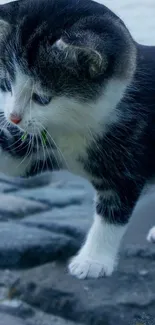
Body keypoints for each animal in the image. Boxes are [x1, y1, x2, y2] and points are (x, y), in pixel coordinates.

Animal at [0, 0, 154, 278]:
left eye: (42, 98)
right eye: (6, 84)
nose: (13, 118)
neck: (76, 125)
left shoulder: (130, 157)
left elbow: (112, 213)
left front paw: (93, 261)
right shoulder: (42, 143)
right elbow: (15, 163)